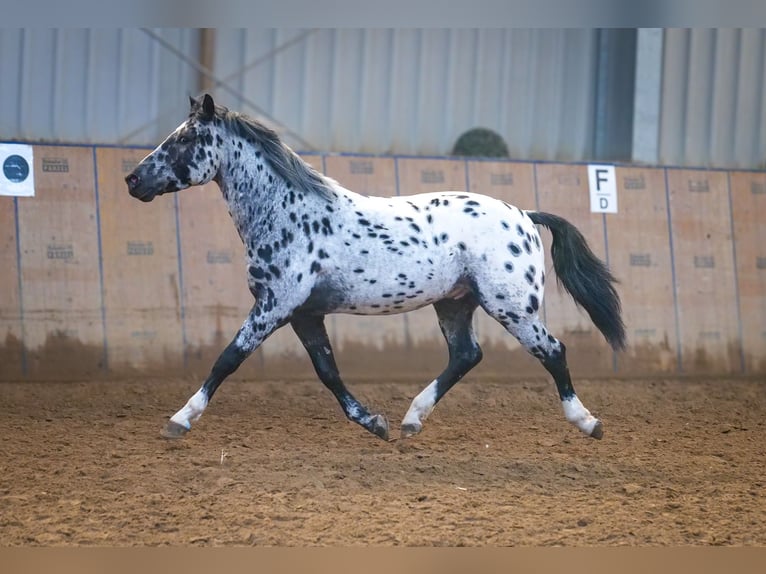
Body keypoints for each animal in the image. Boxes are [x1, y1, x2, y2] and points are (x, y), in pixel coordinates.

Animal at [126, 95, 628, 446]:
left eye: (184, 139)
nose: (132, 180)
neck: (287, 212)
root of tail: (524, 213)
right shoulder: (304, 315)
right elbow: (328, 372)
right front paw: (375, 423)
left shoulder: (275, 306)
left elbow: (228, 359)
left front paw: (179, 420)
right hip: (455, 304)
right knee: (466, 356)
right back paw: (410, 420)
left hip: (512, 307)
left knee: (553, 351)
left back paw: (588, 423)